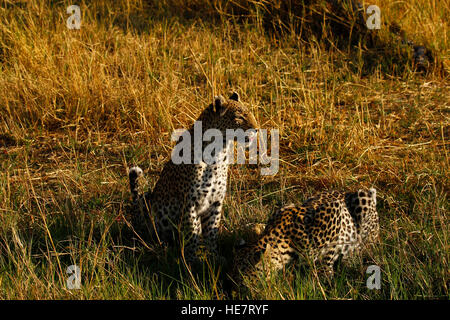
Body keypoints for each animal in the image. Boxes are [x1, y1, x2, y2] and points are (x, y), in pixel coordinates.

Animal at [128, 92, 258, 262]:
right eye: (239, 117)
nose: (257, 129)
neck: (219, 152)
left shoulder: (215, 202)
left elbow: (211, 232)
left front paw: (214, 256)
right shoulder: (189, 202)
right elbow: (192, 232)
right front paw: (192, 260)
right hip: (145, 201)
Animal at [232, 188, 380, 282]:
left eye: (247, 278)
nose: (238, 291)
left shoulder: (334, 211)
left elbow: (328, 253)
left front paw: (326, 275)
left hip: (363, 200)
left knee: (368, 241)